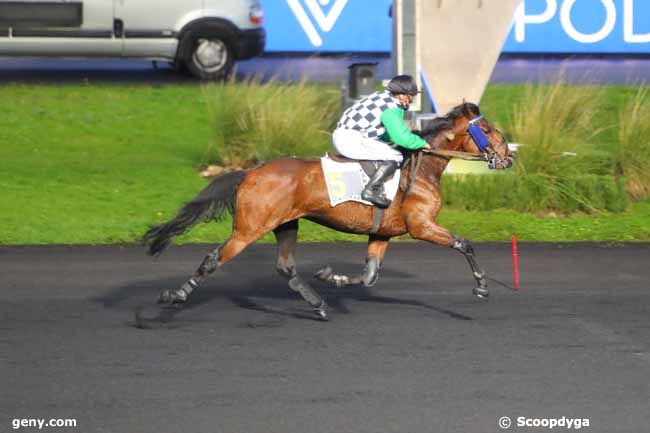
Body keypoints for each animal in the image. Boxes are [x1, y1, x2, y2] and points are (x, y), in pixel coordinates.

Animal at [143, 100, 512, 318]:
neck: (420, 169)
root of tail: (251, 171)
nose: (508, 157)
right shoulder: (421, 226)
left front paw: (329, 276)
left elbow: (369, 275)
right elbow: (464, 244)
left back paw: (318, 304)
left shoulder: (383, 233)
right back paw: (174, 296)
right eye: (488, 129)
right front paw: (482, 286)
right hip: (249, 228)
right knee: (213, 259)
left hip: (286, 224)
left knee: (285, 267)